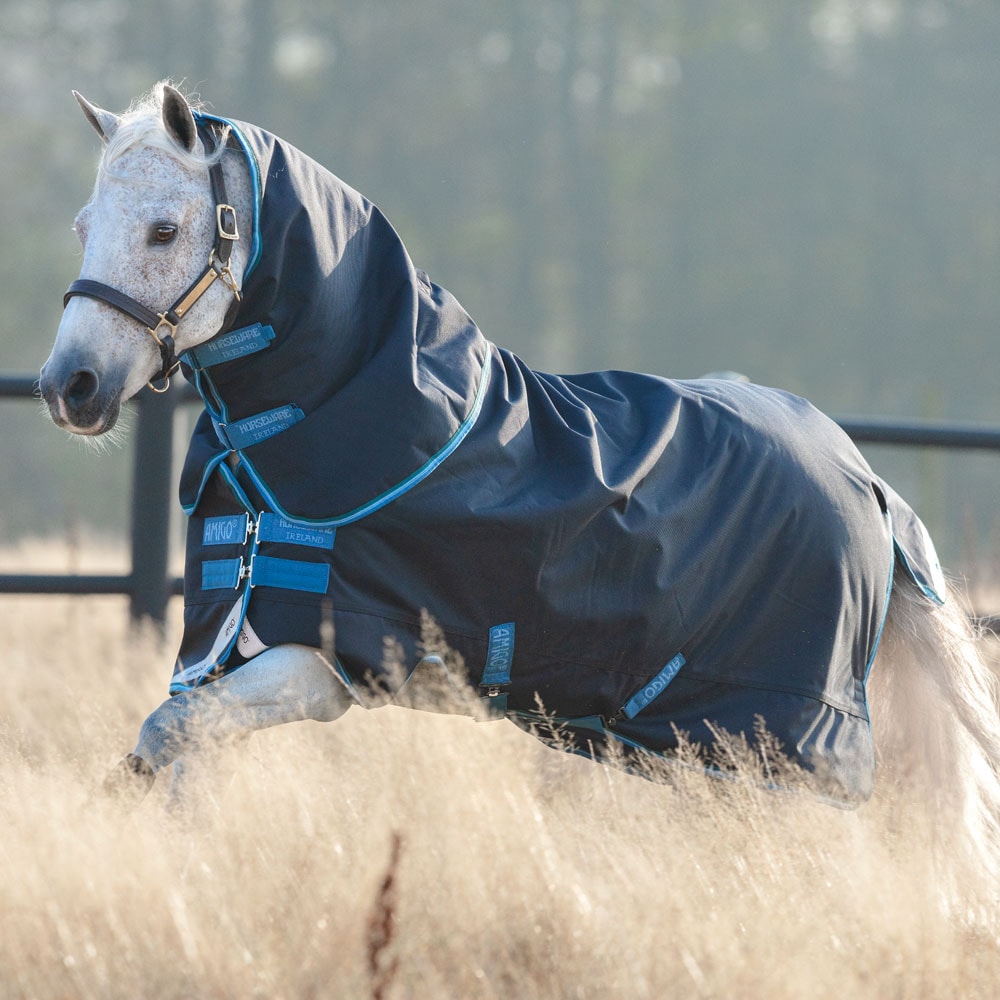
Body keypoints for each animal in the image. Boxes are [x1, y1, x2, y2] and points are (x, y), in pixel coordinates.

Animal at [43, 82, 1000, 884]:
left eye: (165, 230)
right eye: (85, 225)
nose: (70, 387)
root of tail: (869, 481)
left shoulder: (323, 665)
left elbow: (165, 736)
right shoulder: (223, 645)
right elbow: (183, 757)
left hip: (772, 744)